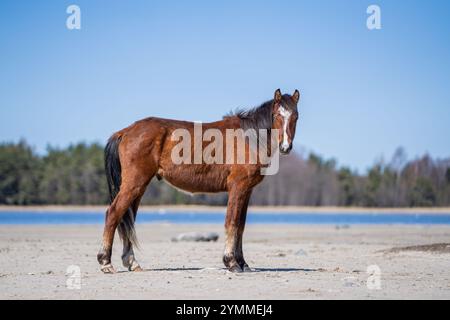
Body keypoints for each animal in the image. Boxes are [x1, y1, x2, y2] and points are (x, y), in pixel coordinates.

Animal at [96, 89, 298, 274]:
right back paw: (106, 262)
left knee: (126, 218)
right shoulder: (237, 188)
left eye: (295, 116)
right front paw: (231, 262)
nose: (286, 147)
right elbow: (232, 222)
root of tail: (125, 131)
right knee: (113, 213)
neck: (248, 138)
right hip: (134, 184)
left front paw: (243, 264)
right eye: (277, 115)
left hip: (137, 188)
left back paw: (132, 262)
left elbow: (240, 226)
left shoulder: (247, 191)